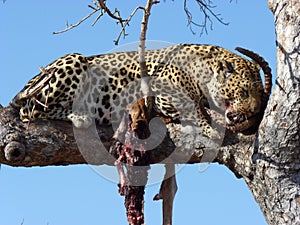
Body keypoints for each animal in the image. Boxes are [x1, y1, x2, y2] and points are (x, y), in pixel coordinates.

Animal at [10, 43, 272, 139]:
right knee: (33, 112)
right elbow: (194, 109)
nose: (254, 111)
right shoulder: (163, 91)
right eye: (245, 91)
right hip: (75, 59)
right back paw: (80, 115)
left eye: (260, 95)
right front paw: (210, 128)